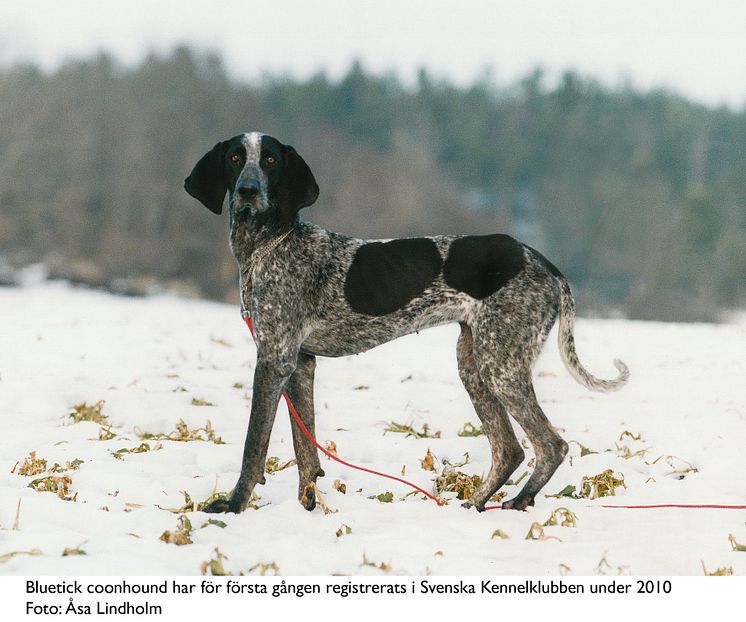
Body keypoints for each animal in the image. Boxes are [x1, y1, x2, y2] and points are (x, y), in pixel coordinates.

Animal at [183, 133, 624, 516]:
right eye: (235, 158)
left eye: (271, 160)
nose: (247, 190)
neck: (269, 243)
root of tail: (546, 264)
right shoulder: (300, 364)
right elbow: (304, 451)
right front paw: (307, 509)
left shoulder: (274, 360)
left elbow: (254, 446)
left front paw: (234, 505)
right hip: (475, 364)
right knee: (509, 449)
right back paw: (473, 507)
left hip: (501, 366)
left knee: (551, 444)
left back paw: (518, 502)